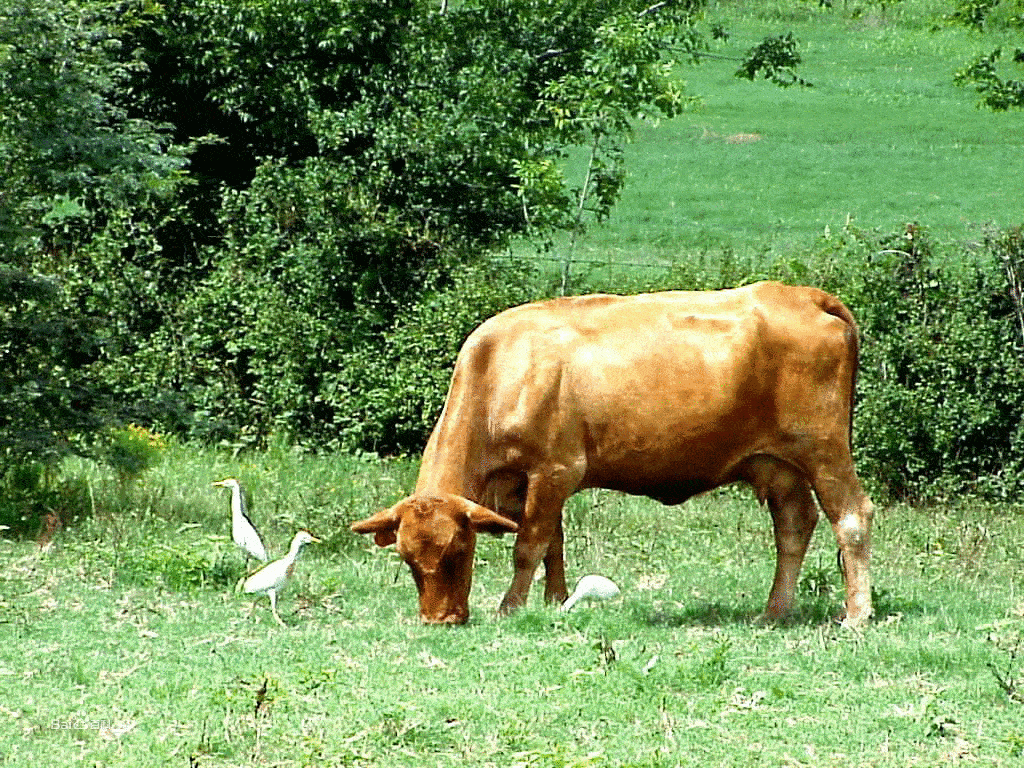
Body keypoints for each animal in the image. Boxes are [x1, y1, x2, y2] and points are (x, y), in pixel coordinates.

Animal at [352, 282, 872, 626]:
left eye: (459, 550)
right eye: (408, 559)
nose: (439, 620)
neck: (503, 367)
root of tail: (801, 294)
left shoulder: (556, 470)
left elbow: (529, 545)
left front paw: (511, 606)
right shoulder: (532, 482)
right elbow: (553, 543)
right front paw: (554, 598)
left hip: (823, 449)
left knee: (851, 518)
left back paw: (857, 613)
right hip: (778, 464)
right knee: (794, 526)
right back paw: (773, 611)